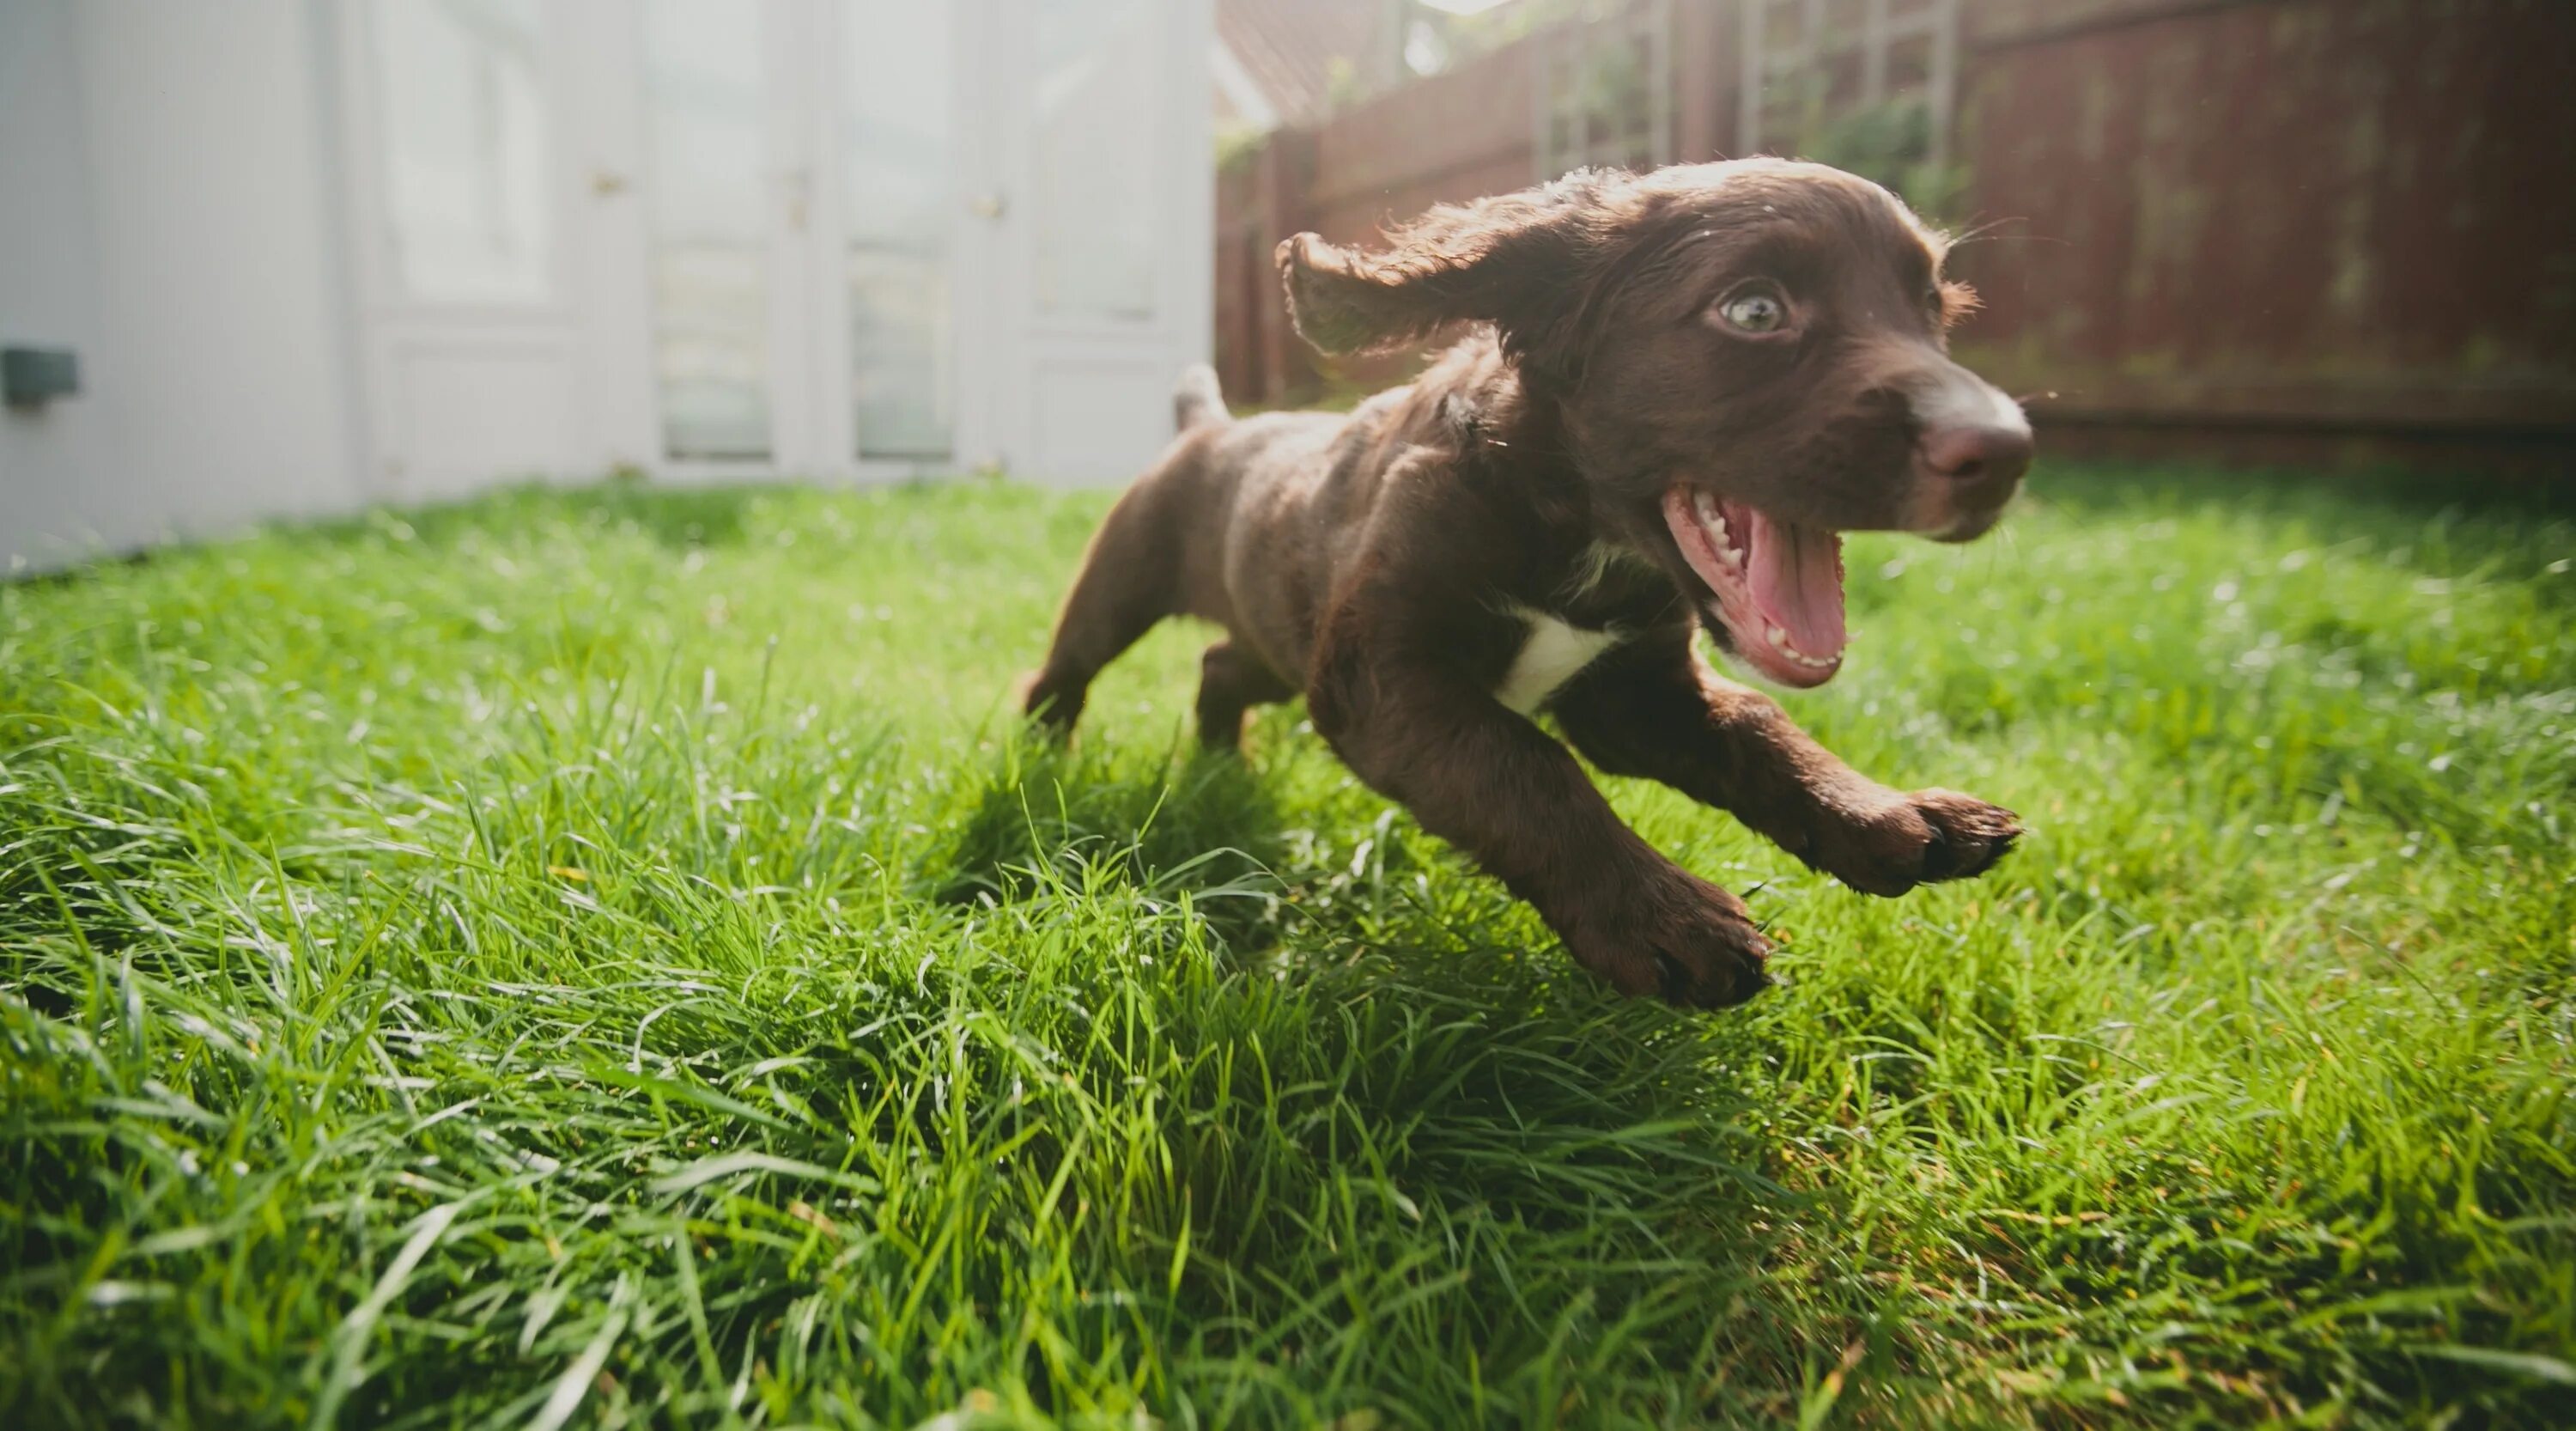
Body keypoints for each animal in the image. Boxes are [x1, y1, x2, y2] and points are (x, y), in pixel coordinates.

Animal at [1025, 160, 2030, 1005]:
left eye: (1935, 312)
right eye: (1754, 311)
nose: (2009, 450)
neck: (1575, 533)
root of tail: (1213, 424)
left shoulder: (1634, 691)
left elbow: (1759, 723)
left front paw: (1887, 813)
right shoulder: (1381, 672)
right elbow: (1525, 764)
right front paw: (1667, 918)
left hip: (1282, 639)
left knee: (1219, 666)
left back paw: (1221, 764)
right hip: (1125, 586)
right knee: (1064, 671)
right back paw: (1044, 764)